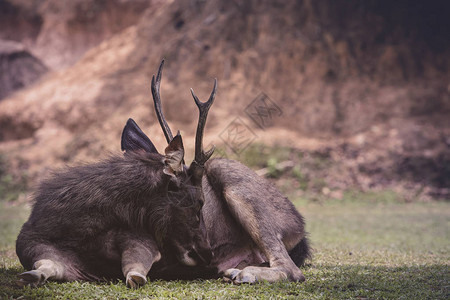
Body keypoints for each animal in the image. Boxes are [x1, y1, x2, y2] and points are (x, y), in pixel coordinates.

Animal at [14, 59, 310, 288]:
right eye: (198, 203)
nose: (208, 254)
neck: (74, 228)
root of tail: (301, 229)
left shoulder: (142, 240)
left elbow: (134, 269)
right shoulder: (34, 243)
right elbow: (45, 265)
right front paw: (32, 276)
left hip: (234, 181)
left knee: (292, 269)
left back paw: (244, 273)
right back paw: (233, 269)